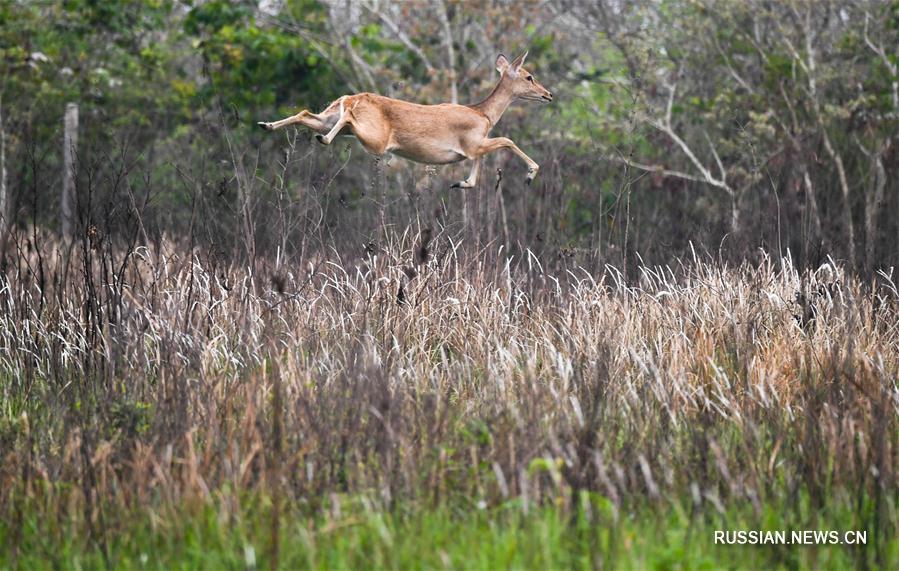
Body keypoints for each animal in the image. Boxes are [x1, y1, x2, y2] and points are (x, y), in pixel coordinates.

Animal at [256, 51, 552, 188]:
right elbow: (507, 140)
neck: (484, 114)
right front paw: (530, 174)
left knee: (307, 113)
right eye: (529, 76)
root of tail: (351, 97)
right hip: (374, 137)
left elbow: (476, 174)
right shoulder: (473, 143)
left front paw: (460, 183)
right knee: (346, 116)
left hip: (331, 117)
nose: (548, 94)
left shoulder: (474, 148)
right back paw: (322, 139)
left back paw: (267, 125)